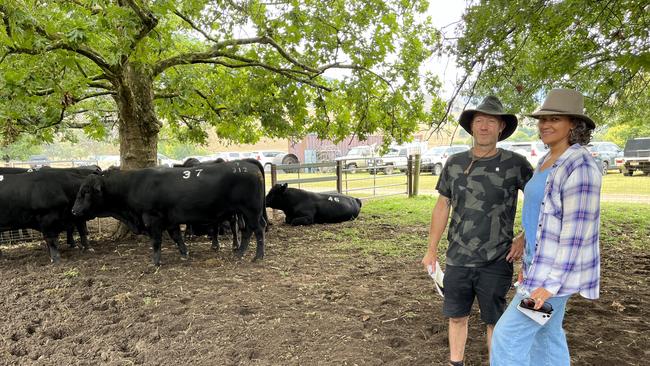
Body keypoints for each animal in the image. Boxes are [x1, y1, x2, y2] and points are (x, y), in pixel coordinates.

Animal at [74, 160, 268, 266]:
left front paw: (156, 262)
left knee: (258, 230)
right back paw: (240, 253)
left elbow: (156, 241)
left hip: (251, 210)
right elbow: (176, 237)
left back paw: (258, 256)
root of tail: (247, 164)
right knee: (248, 231)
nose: (73, 210)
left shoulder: (152, 219)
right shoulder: (171, 220)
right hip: (245, 212)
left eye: (86, 191)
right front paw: (184, 253)